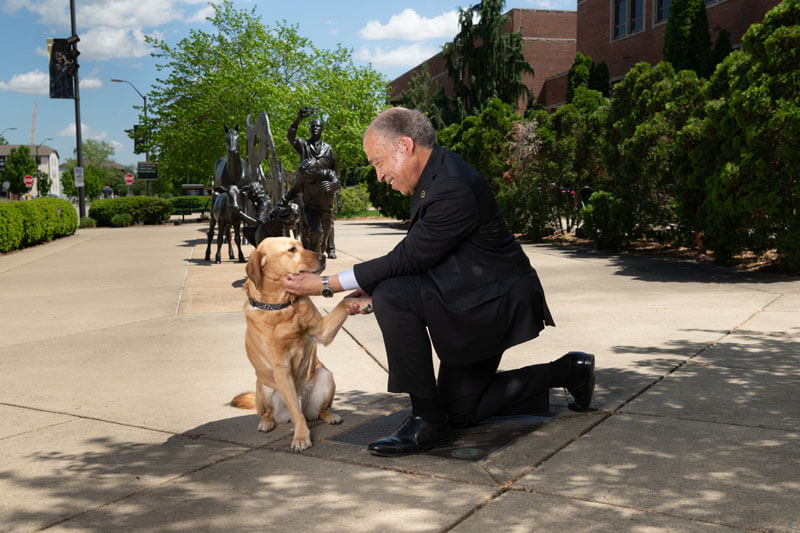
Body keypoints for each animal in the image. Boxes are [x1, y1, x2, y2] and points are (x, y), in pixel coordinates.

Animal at [231, 237, 366, 448]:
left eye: (301, 245)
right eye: (291, 250)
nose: (323, 256)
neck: (282, 306)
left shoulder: (322, 331)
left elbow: (343, 302)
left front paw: (365, 299)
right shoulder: (281, 369)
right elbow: (296, 411)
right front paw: (301, 436)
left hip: (325, 375)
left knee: (319, 411)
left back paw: (330, 416)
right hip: (263, 387)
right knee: (270, 413)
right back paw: (266, 423)